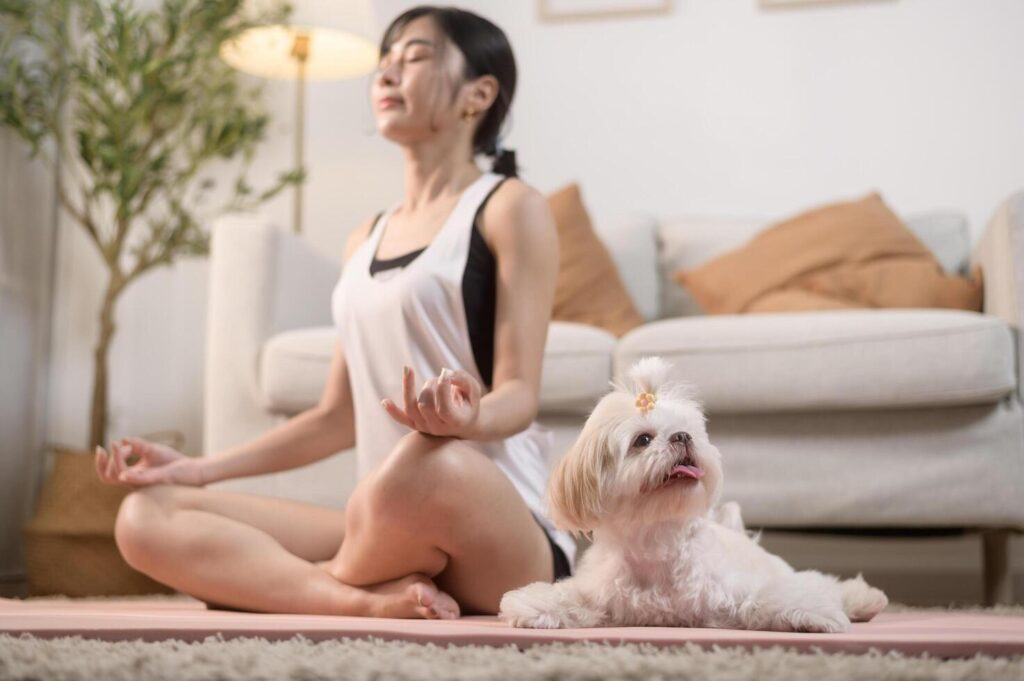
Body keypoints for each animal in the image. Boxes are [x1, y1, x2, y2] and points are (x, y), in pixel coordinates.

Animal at [501, 356, 888, 630]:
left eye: (689, 431)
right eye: (643, 440)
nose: (682, 437)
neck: (658, 541)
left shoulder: (735, 588)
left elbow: (767, 598)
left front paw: (811, 614)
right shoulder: (602, 595)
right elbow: (570, 599)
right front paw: (533, 606)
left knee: (821, 583)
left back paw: (862, 599)